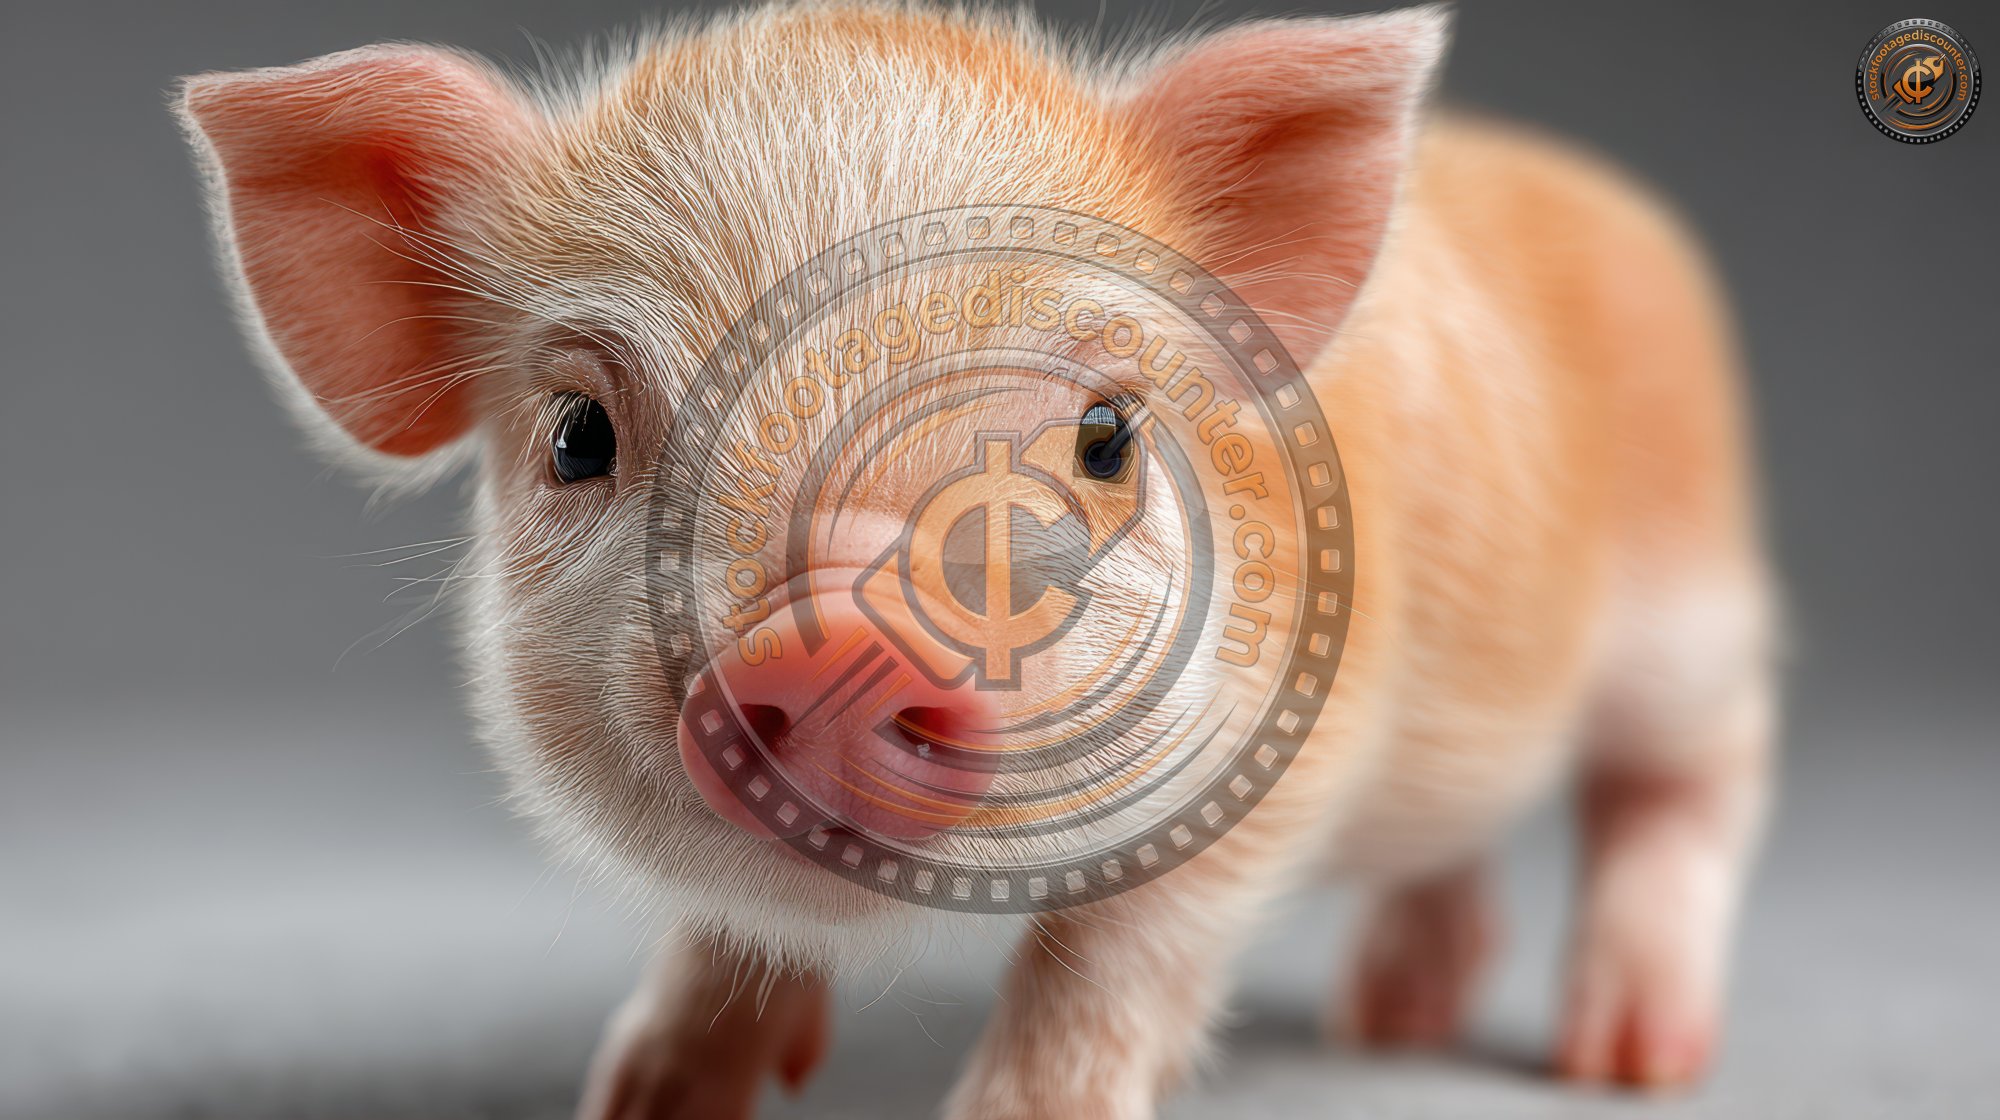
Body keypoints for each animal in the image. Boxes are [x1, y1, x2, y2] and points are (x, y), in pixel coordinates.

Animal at [176, 3, 1777, 1118]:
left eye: (1106, 437)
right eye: (578, 434)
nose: (835, 629)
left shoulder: (1271, 762)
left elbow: (1114, 961)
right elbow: (722, 939)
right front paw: (639, 1103)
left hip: (1685, 599)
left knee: (1688, 776)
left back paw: (1626, 1060)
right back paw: (1392, 1022)